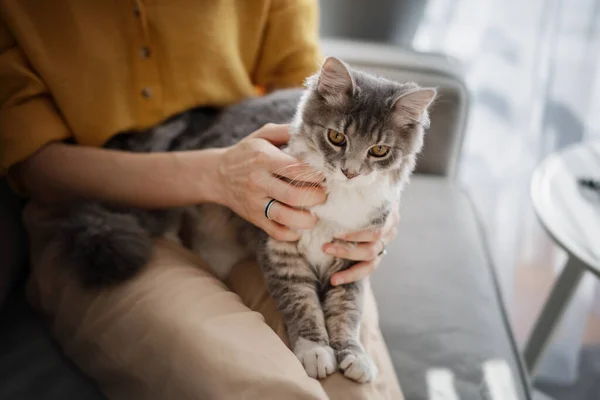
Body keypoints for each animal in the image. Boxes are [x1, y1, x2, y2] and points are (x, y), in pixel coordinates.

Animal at [57, 56, 436, 382]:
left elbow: (346, 312)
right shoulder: (280, 250)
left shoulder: (353, 258)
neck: (338, 198)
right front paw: (315, 350)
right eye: (337, 137)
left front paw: (353, 355)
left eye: (379, 151)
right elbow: (301, 304)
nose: (351, 172)